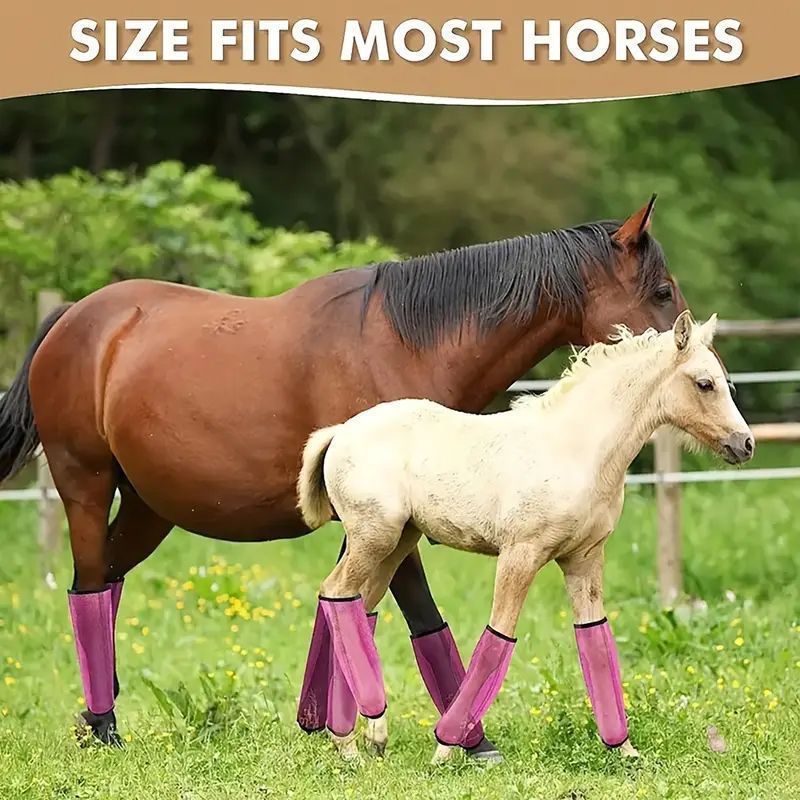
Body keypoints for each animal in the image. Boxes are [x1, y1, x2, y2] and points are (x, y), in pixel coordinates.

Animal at [0, 196, 686, 753]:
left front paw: (327, 723)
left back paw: (97, 715)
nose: (694, 356)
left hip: (150, 507)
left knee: (106, 580)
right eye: (661, 292)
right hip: (86, 486)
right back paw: (105, 725)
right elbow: (417, 612)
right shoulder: (393, 518)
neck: (404, 345)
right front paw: (466, 738)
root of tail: (74, 318)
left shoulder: (382, 521)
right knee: (89, 587)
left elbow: (356, 609)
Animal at [296, 311, 754, 763]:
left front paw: (624, 749)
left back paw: (363, 735)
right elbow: (499, 636)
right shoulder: (521, 554)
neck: (576, 450)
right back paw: (350, 740)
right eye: (704, 383)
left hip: (397, 543)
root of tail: (340, 431)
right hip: (374, 537)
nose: (745, 444)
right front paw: (447, 745)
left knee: (359, 605)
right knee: (335, 592)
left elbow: (595, 639)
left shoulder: (585, 559)